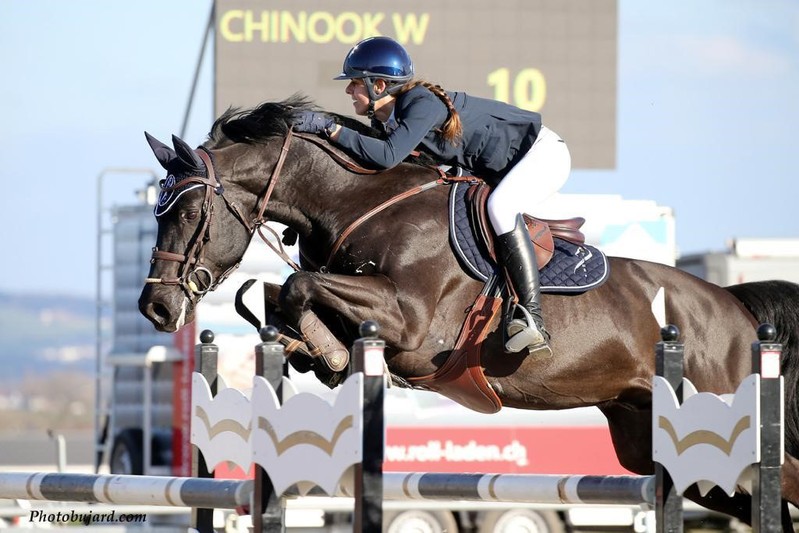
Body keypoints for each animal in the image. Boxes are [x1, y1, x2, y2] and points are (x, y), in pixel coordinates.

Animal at [138, 95, 799, 529]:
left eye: (189, 214)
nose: (157, 307)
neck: (359, 201)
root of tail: (735, 308)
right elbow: (282, 293)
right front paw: (310, 350)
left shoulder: (410, 324)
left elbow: (300, 286)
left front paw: (324, 350)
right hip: (658, 442)